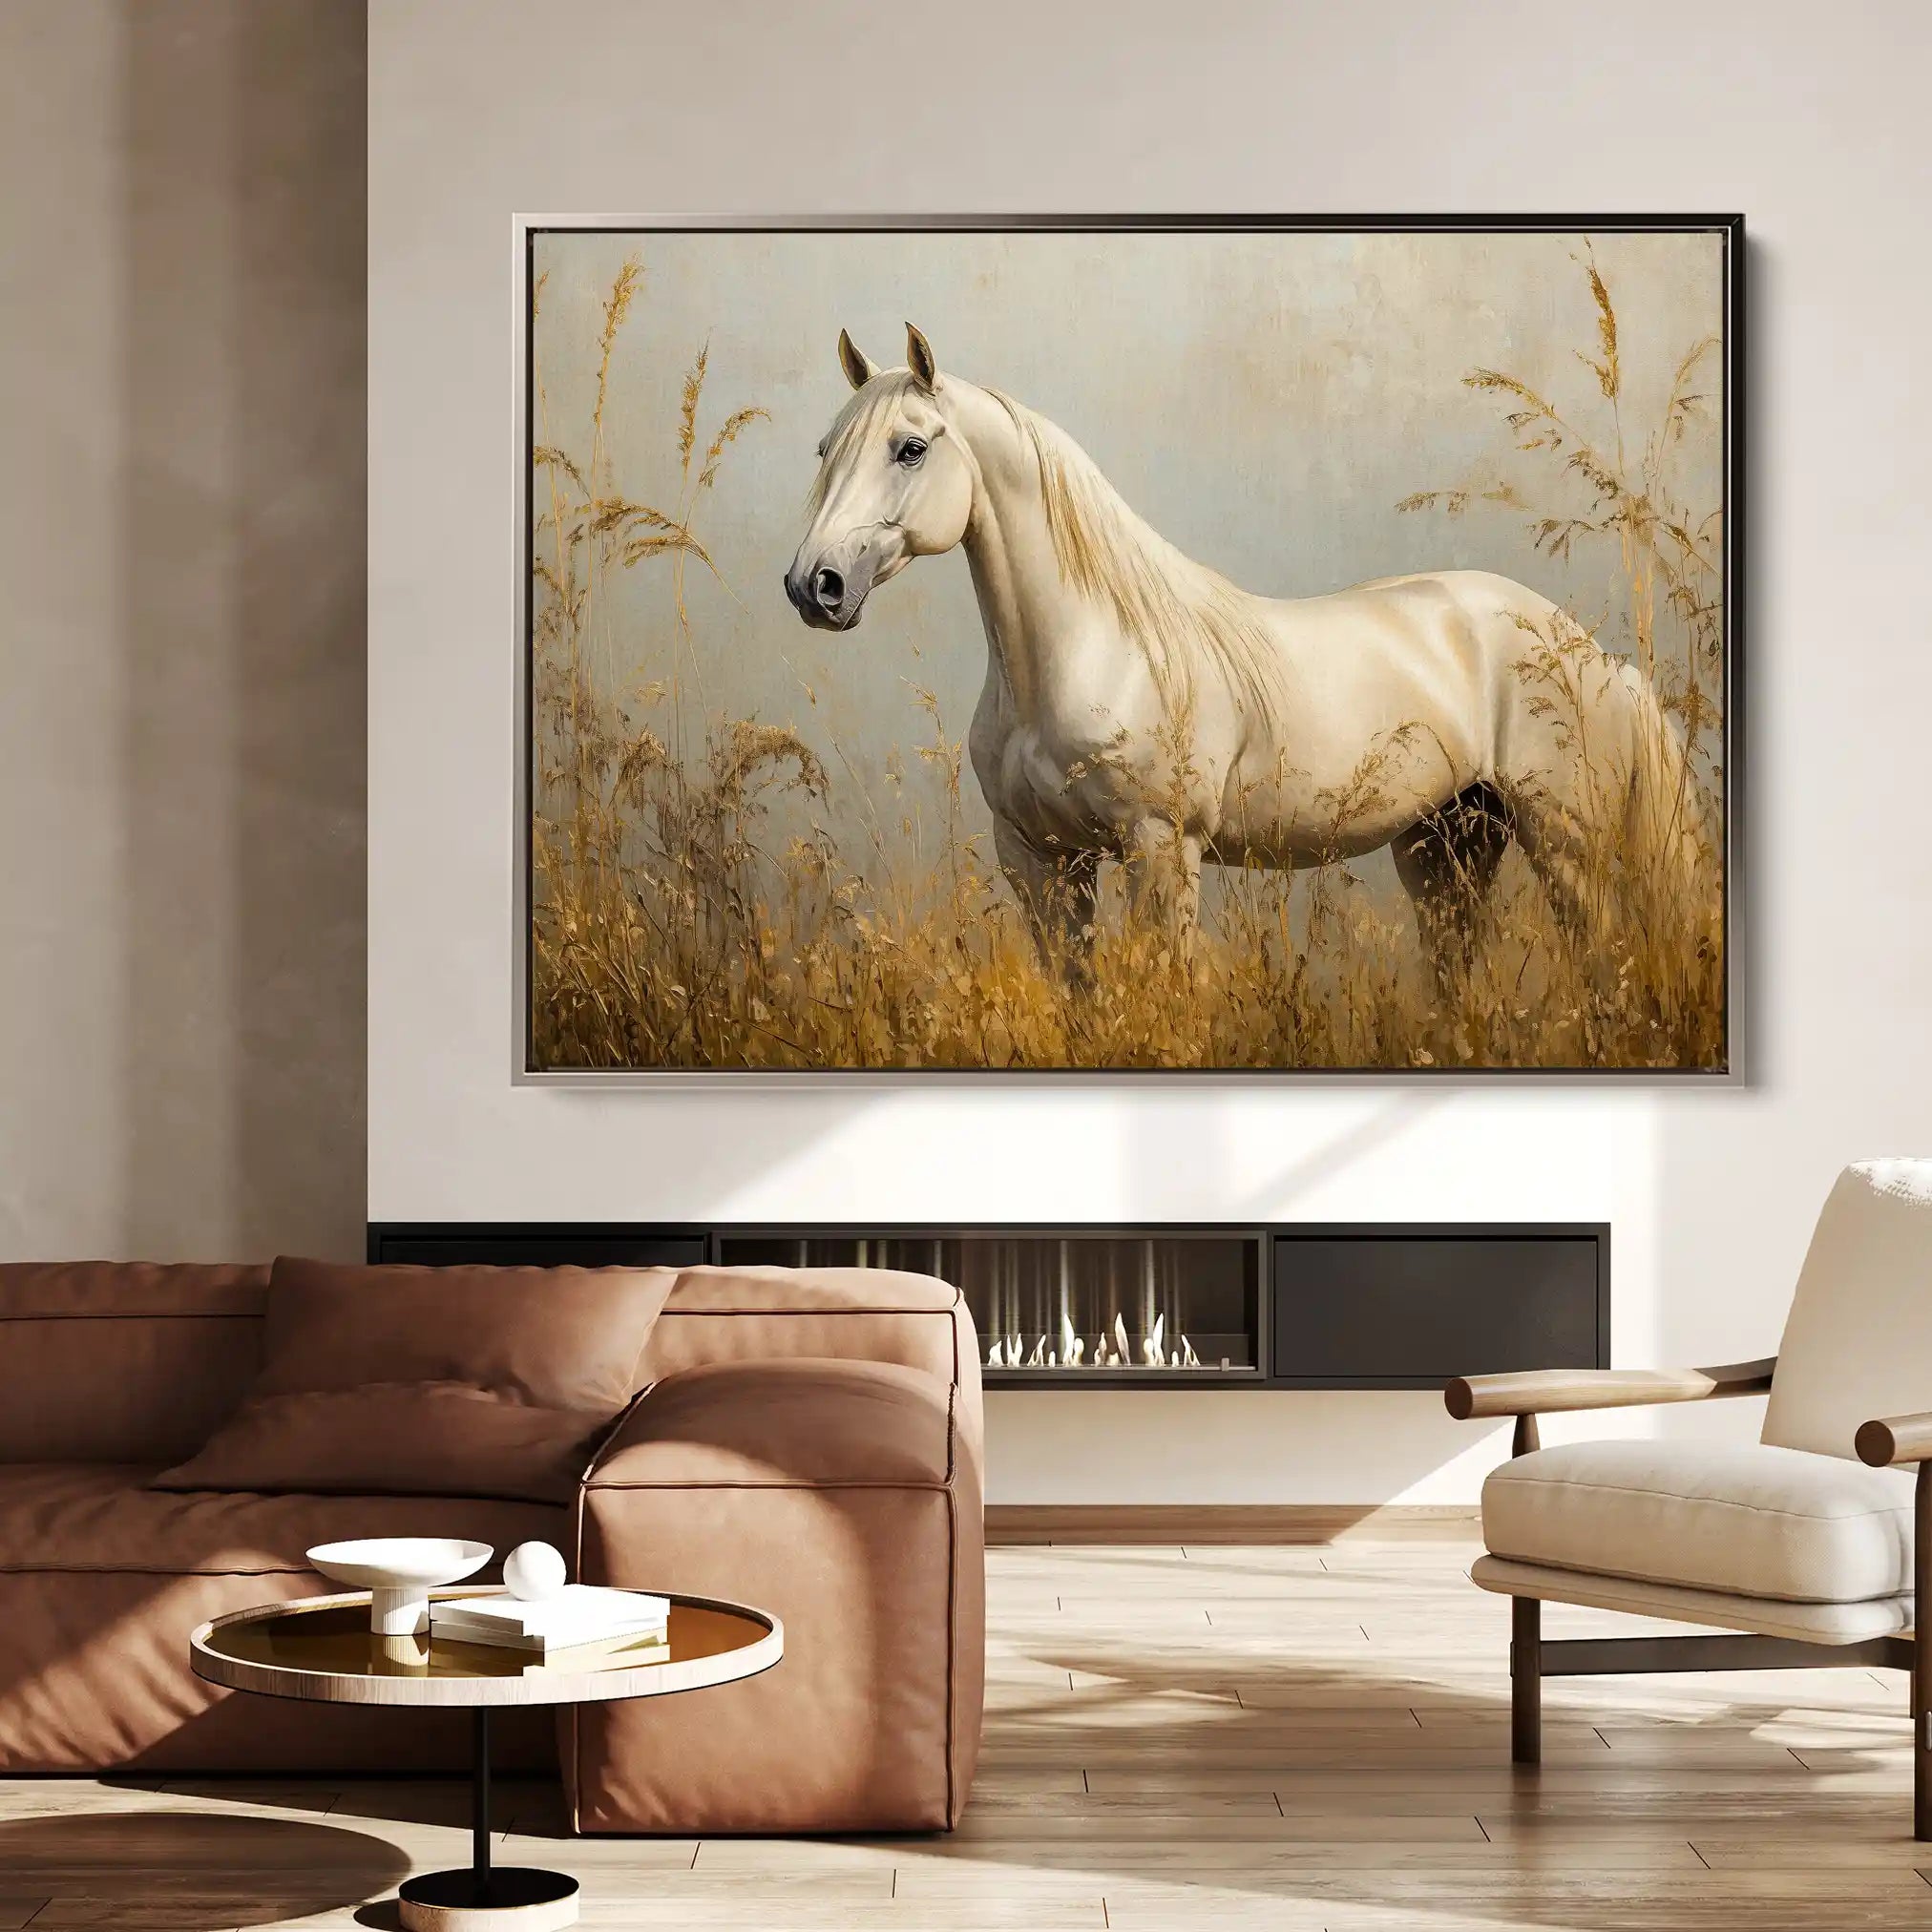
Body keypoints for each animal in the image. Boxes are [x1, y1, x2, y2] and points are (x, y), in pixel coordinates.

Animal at [784, 323, 1695, 983]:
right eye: (824, 450)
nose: (814, 585)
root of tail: (1595, 654)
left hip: (1566, 845)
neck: (1092, 651)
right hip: (1446, 846)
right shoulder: (1039, 863)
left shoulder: (1161, 849)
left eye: (911, 447)